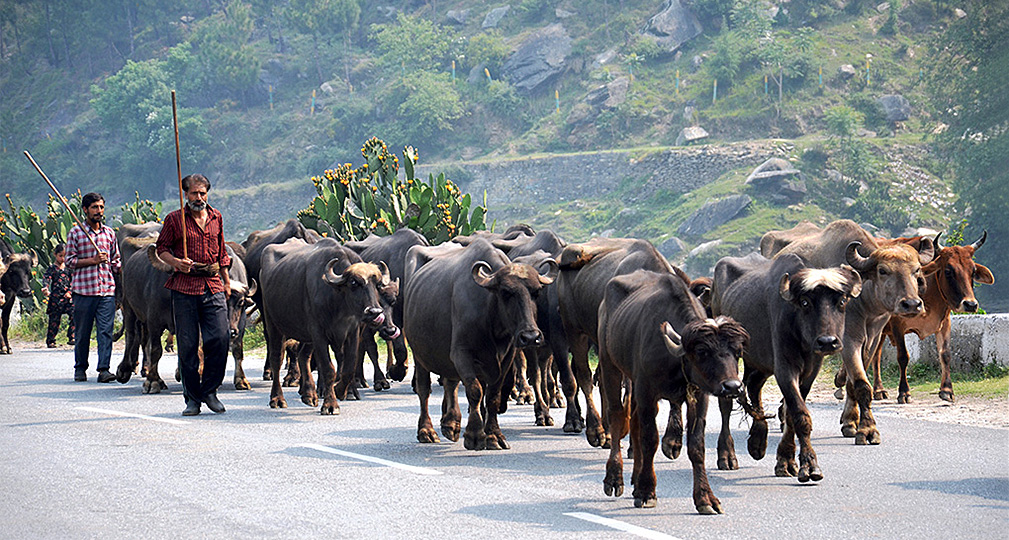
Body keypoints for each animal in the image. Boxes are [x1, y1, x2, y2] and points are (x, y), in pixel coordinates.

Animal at [258, 238, 387, 413]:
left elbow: (349, 366)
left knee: (303, 355)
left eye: (377, 284)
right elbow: (328, 369)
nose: (374, 312)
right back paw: (277, 399)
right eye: (354, 282)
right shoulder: (319, 333)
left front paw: (340, 391)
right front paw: (330, 404)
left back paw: (309, 394)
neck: (339, 306)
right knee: (276, 359)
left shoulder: (352, 333)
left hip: (306, 335)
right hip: (273, 324)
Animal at [403, 239, 561, 450]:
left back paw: (451, 424)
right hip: (420, 354)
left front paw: (494, 435)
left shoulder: (506, 357)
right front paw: (475, 435)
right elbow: (475, 391)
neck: (490, 318)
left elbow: (492, 396)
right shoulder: (462, 354)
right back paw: (427, 431)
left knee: (450, 383)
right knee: (423, 389)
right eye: (506, 292)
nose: (530, 337)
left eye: (536, 292)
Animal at [597, 272, 750, 512]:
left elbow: (696, 446)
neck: (676, 364)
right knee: (617, 416)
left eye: (737, 351)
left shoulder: (699, 396)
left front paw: (705, 498)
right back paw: (615, 479)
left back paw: (636, 480)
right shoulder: (647, 392)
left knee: (635, 422)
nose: (732, 386)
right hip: (609, 364)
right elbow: (650, 439)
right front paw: (647, 492)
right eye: (702, 351)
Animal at [710, 252, 859, 482]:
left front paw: (786, 461)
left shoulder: (810, 372)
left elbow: (790, 412)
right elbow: (800, 414)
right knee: (726, 403)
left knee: (753, 387)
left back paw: (757, 442)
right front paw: (809, 465)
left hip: (759, 362)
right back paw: (727, 456)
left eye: (841, 301)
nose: (827, 342)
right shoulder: (784, 369)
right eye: (805, 302)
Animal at [762, 218, 936, 446]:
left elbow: (854, 385)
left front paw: (851, 422)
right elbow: (862, 385)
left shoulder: (872, 340)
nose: (912, 304)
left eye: (916, 270)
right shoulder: (848, 340)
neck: (865, 305)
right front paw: (868, 429)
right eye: (883, 270)